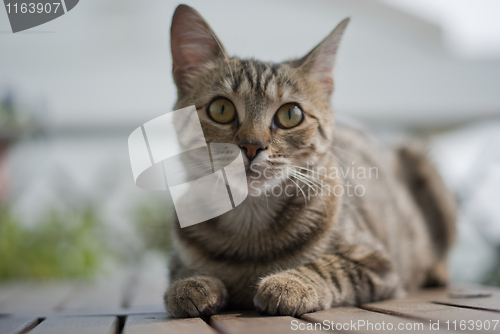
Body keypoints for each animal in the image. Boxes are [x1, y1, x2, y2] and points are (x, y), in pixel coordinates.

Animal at [163, 5, 458, 318]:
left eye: (290, 114)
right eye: (221, 109)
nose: (252, 146)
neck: (250, 222)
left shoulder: (378, 263)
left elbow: (328, 268)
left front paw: (289, 283)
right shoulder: (176, 259)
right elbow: (182, 271)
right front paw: (192, 282)